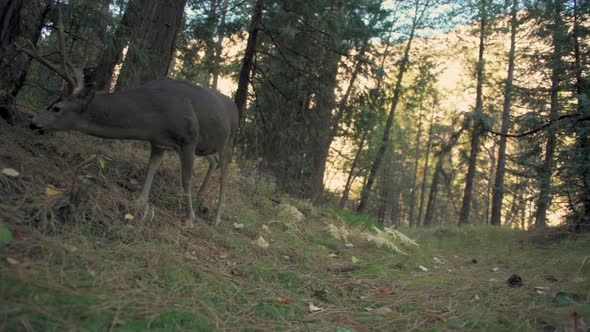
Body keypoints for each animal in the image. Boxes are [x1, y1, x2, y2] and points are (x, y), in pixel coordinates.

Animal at [18, 10, 240, 227]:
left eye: (56, 108)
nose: (33, 122)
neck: (153, 117)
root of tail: (236, 107)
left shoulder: (188, 138)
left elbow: (185, 179)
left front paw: (189, 218)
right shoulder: (159, 142)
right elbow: (150, 170)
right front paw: (140, 205)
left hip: (228, 141)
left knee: (225, 173)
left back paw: (216, 217)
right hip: (207, 143)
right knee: (213, 161)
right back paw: (200, 199)